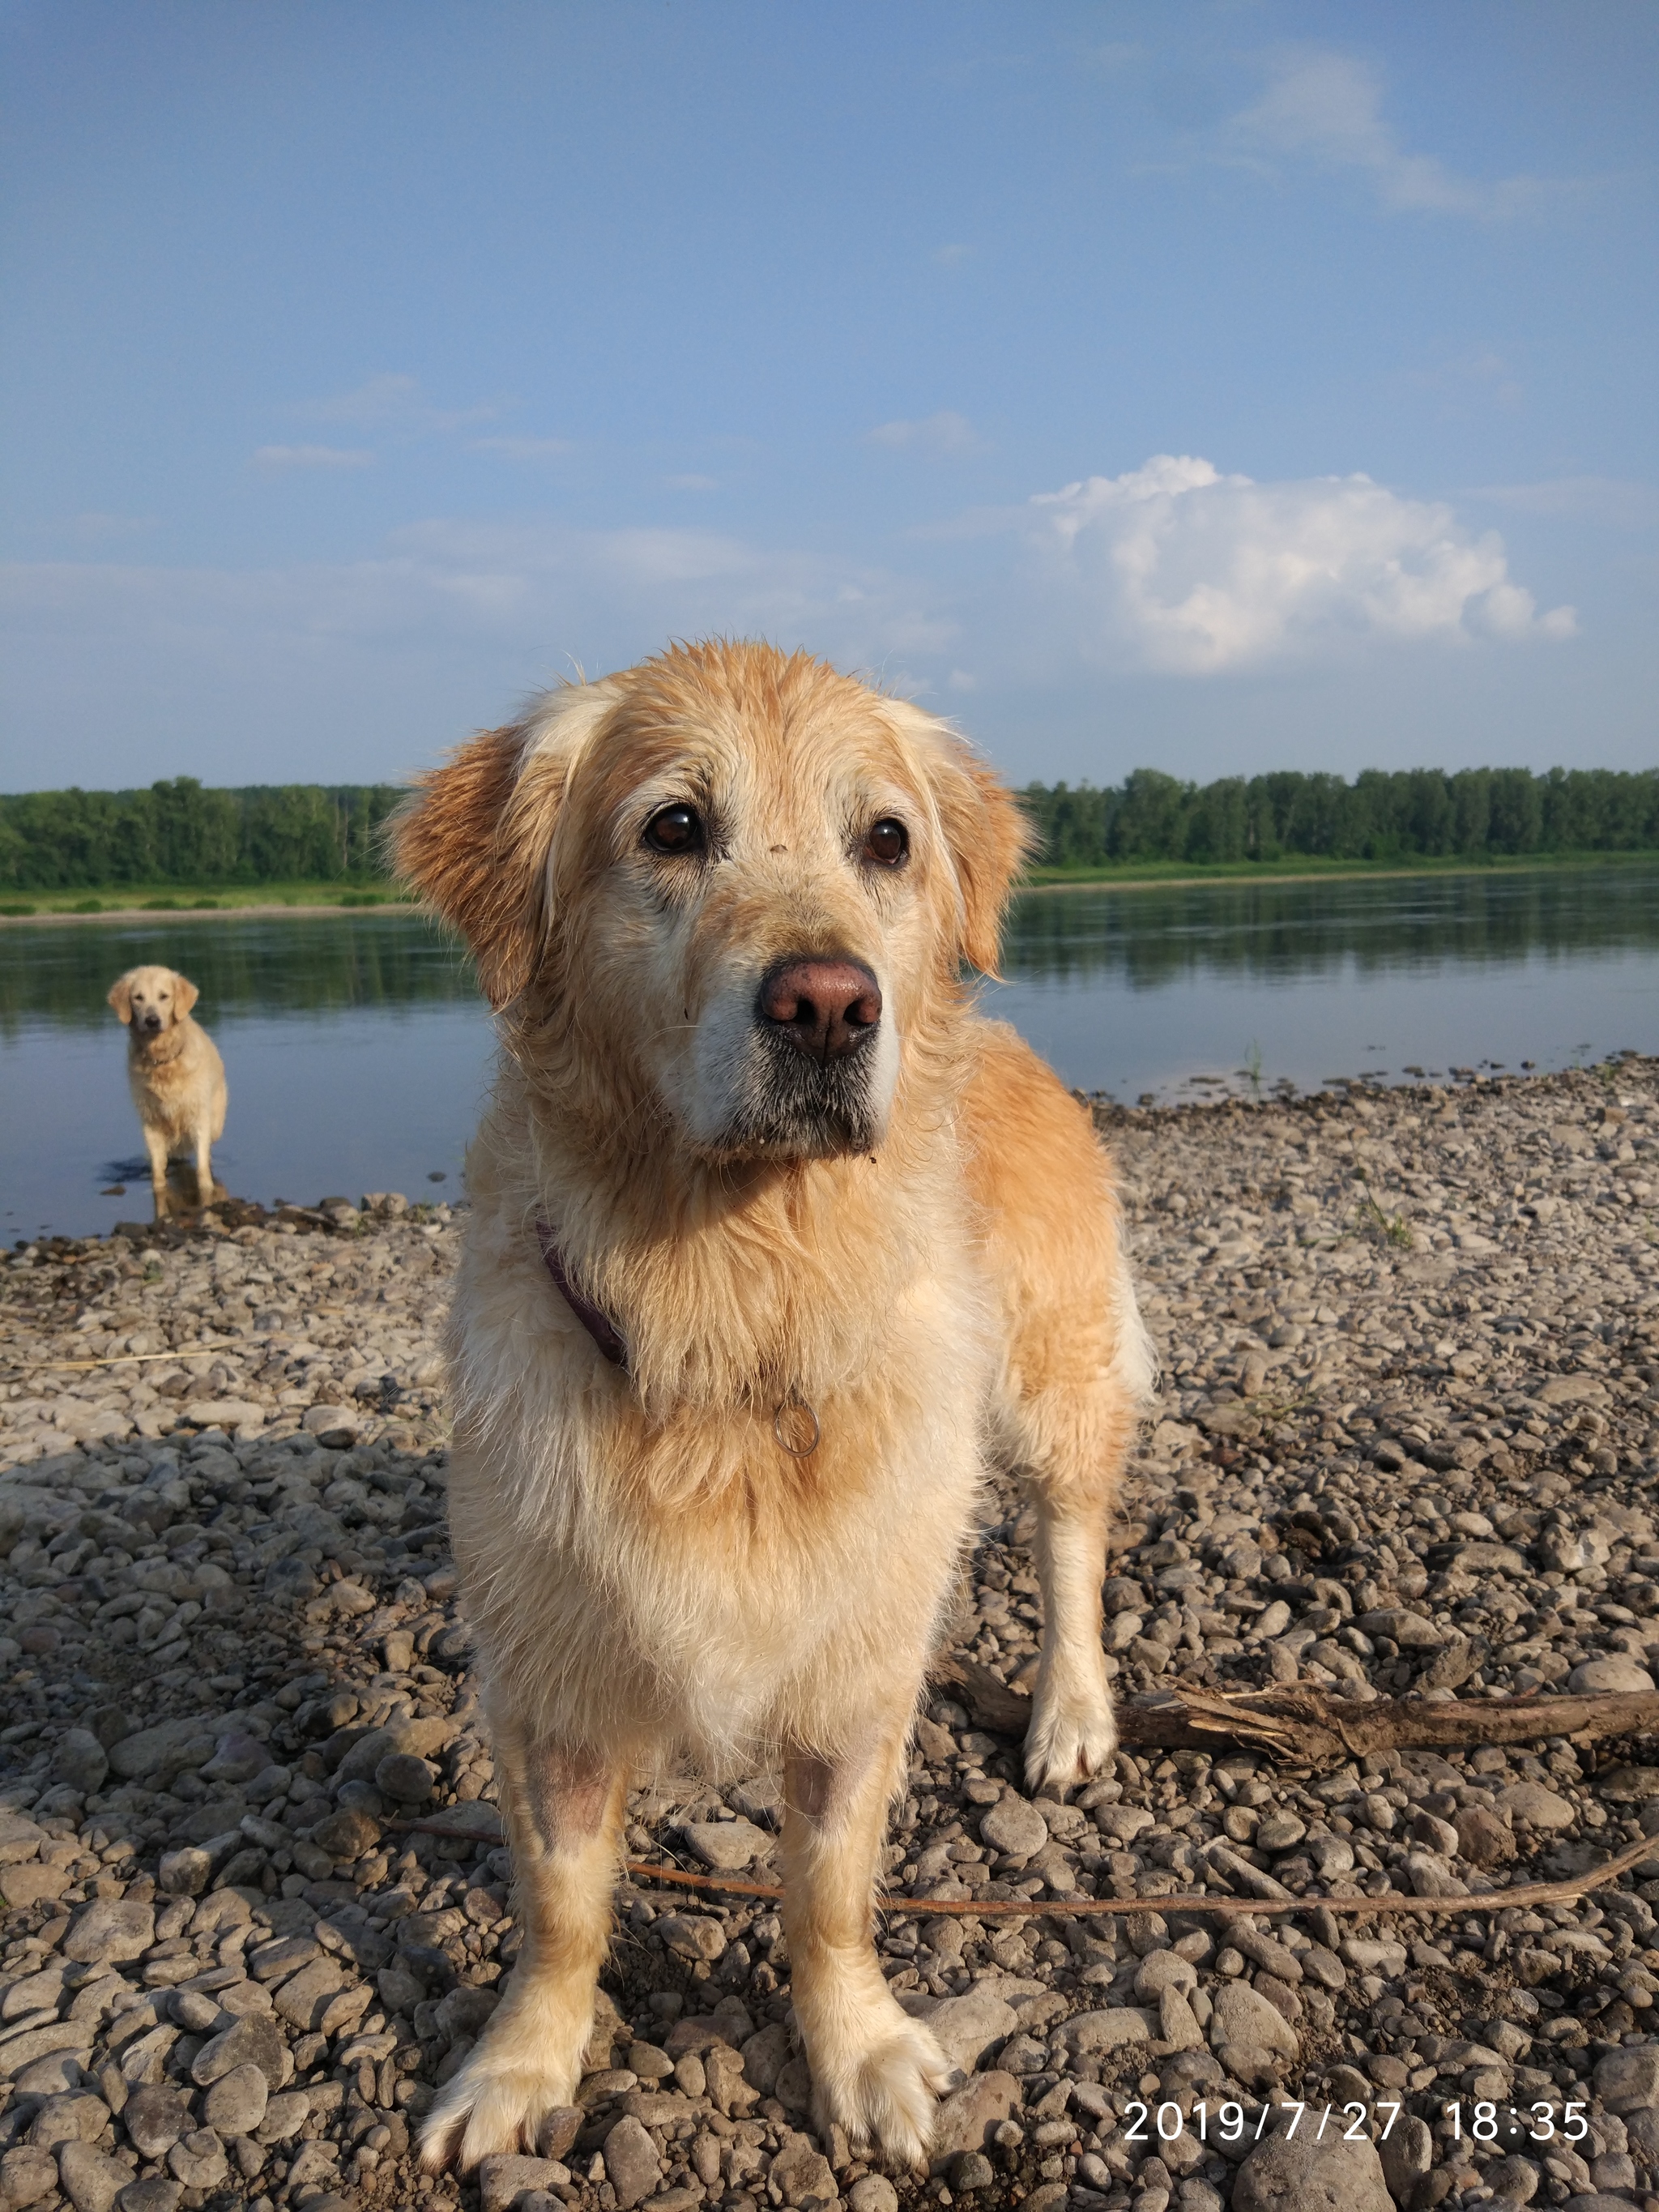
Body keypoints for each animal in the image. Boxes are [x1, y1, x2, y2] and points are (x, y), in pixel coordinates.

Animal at [104, 968, 228, 1212]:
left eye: (164, 996)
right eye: (138, 997)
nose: (152, 1021)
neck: (162, 1061)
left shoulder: (199, 1117)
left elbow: (202, 1169)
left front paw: (205, 1193)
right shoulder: (151, 1122)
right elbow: (158, 1172)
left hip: (215, 1122)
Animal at [398, 646, 1158, 2176]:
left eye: (887, 839)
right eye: (674, 826)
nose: (828, 1004)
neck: (734, 1300)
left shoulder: (858, 1665)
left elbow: (827, 1892)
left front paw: (860, 2056)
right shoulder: (546, 1674)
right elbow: (559, 1907)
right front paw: (517, 2069)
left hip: (1055, 1375)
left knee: (1070, 1542)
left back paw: (1067, 1716)